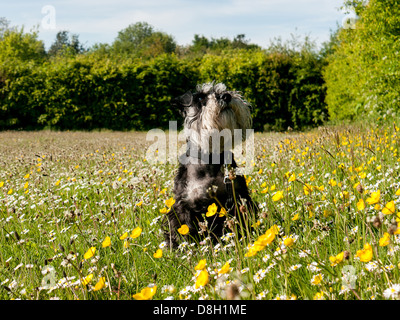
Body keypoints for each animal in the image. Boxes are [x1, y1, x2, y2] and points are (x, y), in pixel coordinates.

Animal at [162, 82, 258, 248]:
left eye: (223, 89)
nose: (226, 96)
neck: (211, 158)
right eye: (200, 98)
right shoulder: (184, 208)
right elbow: (185, 232)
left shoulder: (239, 197)